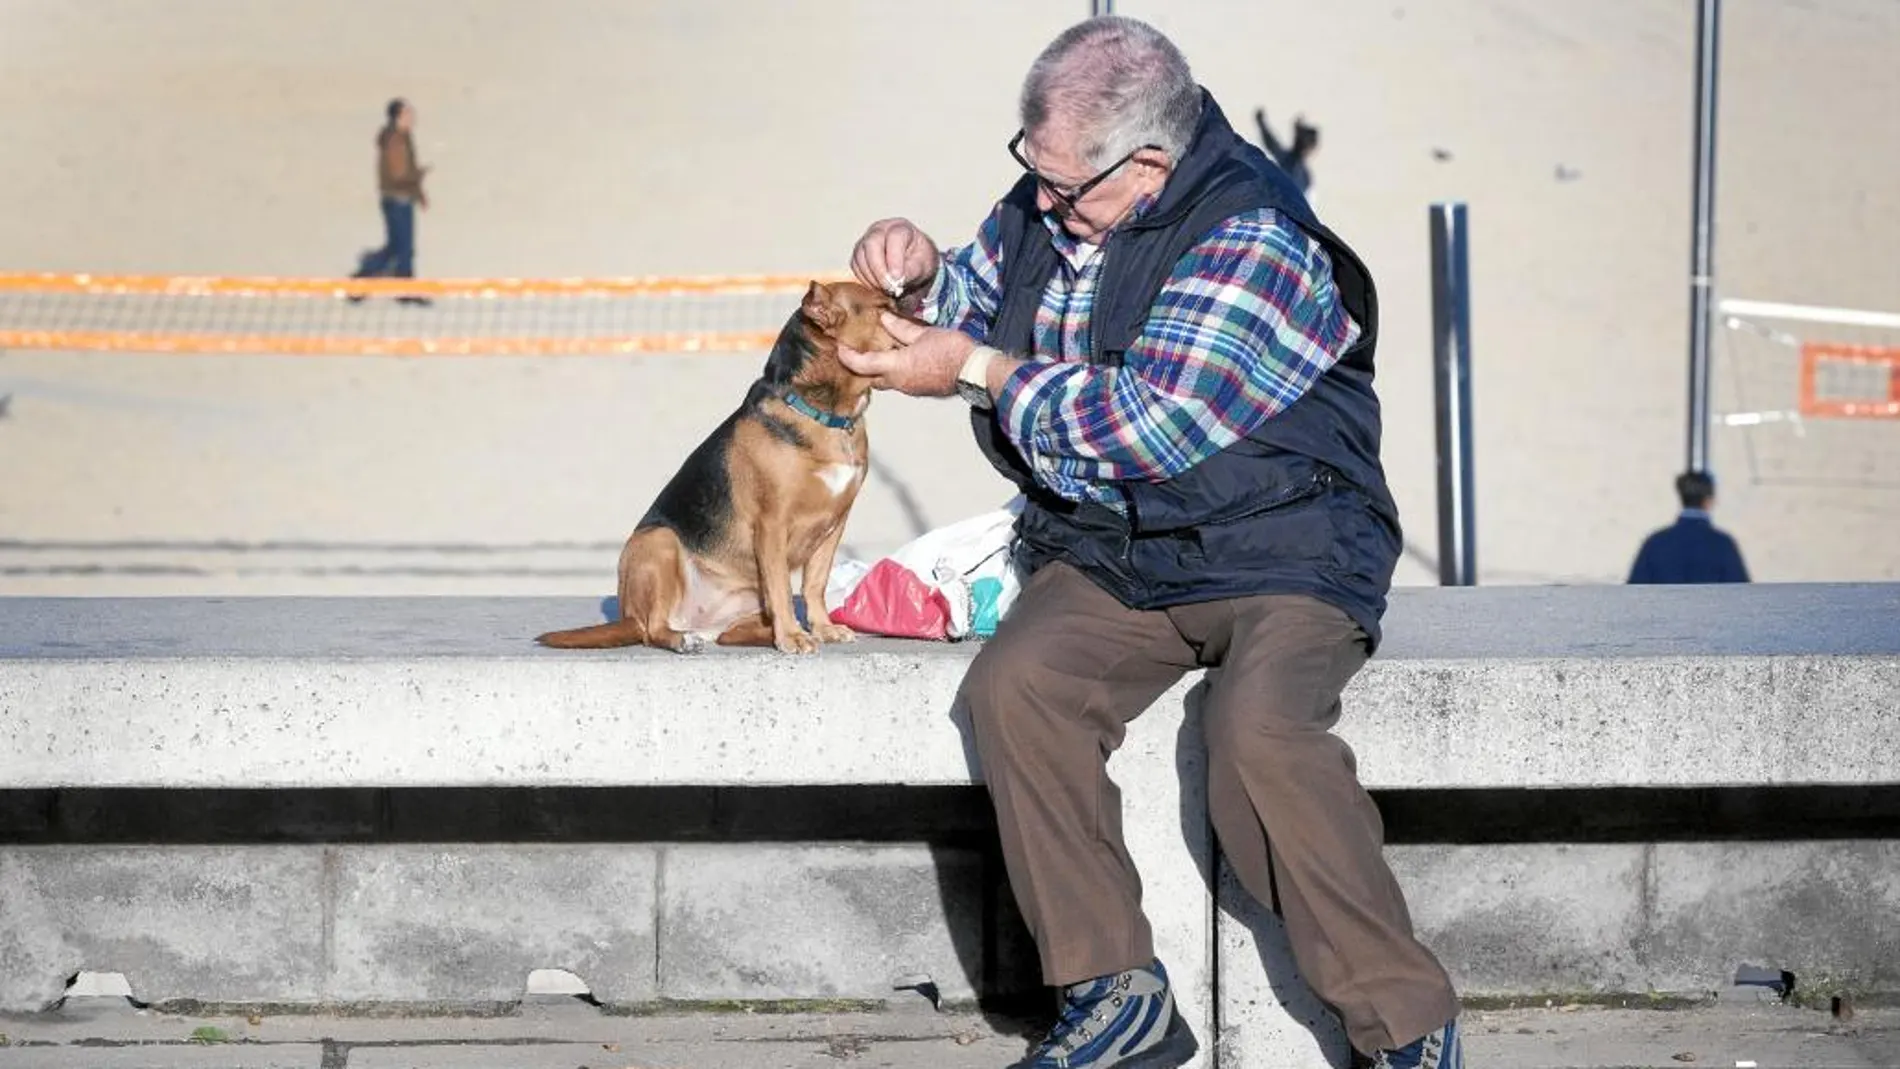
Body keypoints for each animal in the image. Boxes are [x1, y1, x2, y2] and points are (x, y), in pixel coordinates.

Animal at [528, 281, 896, 656]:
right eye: (885, 307)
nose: (909, 305)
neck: (824, 415)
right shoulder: (772, 523)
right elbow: (781, 586)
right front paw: (793, 637)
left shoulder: (834, 525)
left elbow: (814, 584)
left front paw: (821, 628)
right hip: (659, 542)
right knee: (652, 629)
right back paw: (684, 639)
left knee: (730, 633)